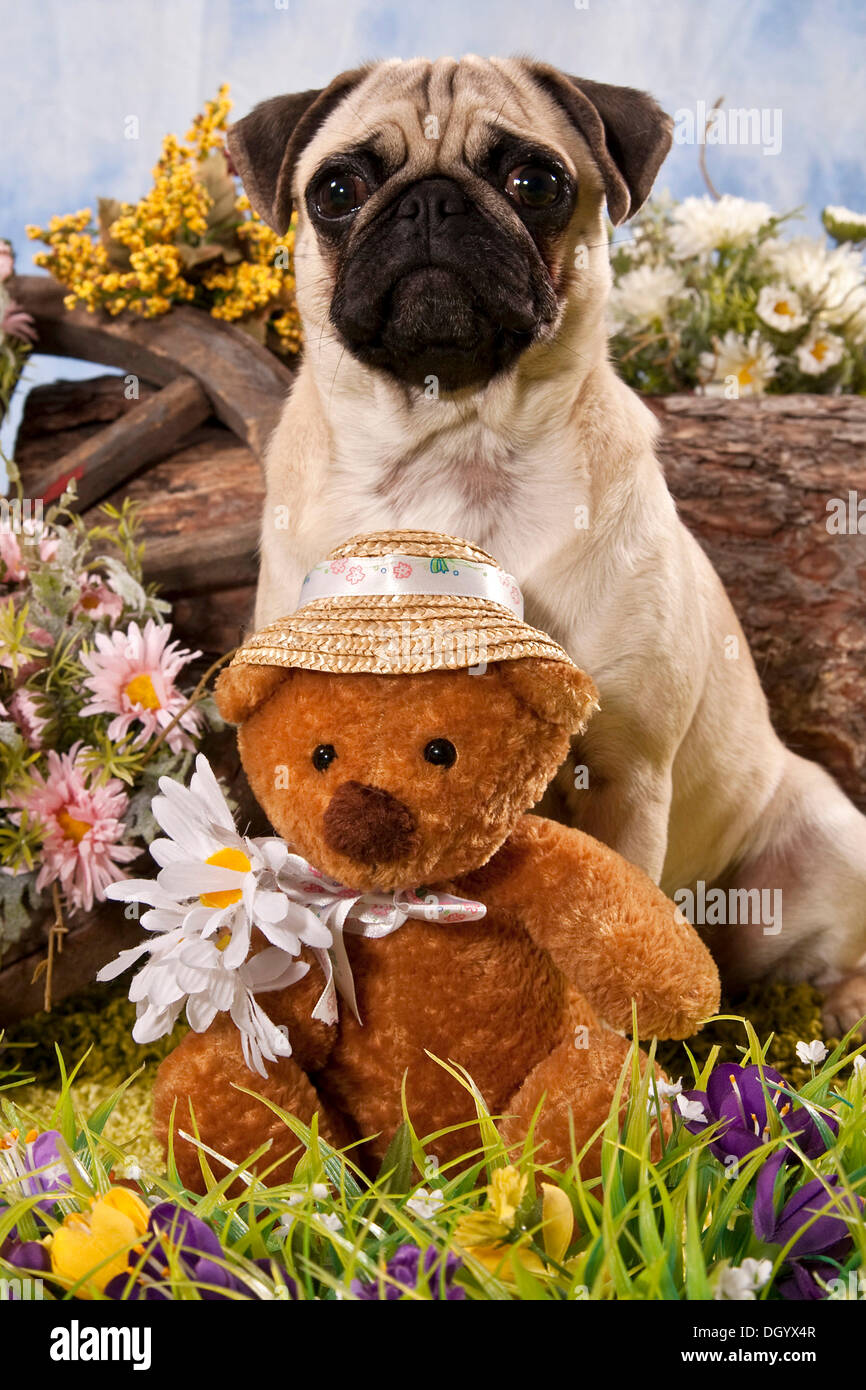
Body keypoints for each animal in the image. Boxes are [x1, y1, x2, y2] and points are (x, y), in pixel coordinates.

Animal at [226, 54, 866, 1034]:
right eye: (338, 191)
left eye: (537, 182)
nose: (431, 202)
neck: (454, 445)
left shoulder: (624, 776)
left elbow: (615, 920)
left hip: (827, 844)